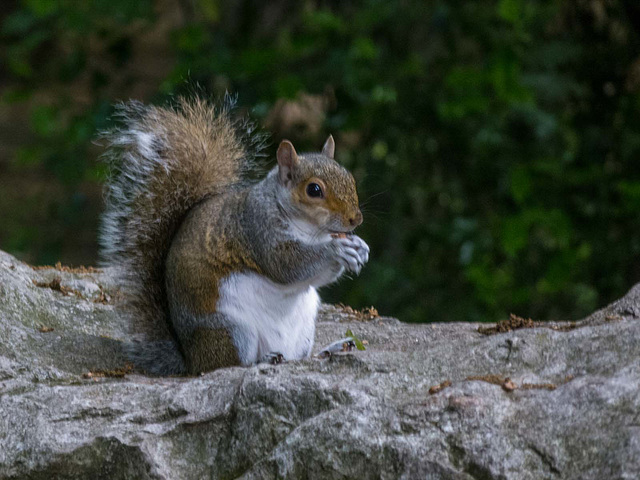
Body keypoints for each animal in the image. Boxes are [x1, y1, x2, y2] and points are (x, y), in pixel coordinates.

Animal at [99, 97, 370, 376]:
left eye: (349, 177)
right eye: (314, 190)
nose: (356, 219)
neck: (309, 231)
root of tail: (190, 359)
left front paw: (359, 247)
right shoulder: (257, 229)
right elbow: (287, 266)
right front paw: (336, 250)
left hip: (303, 328)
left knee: (298, 358)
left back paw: (331, 349)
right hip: (231, 330)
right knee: (227, 365)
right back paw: (263, 359)